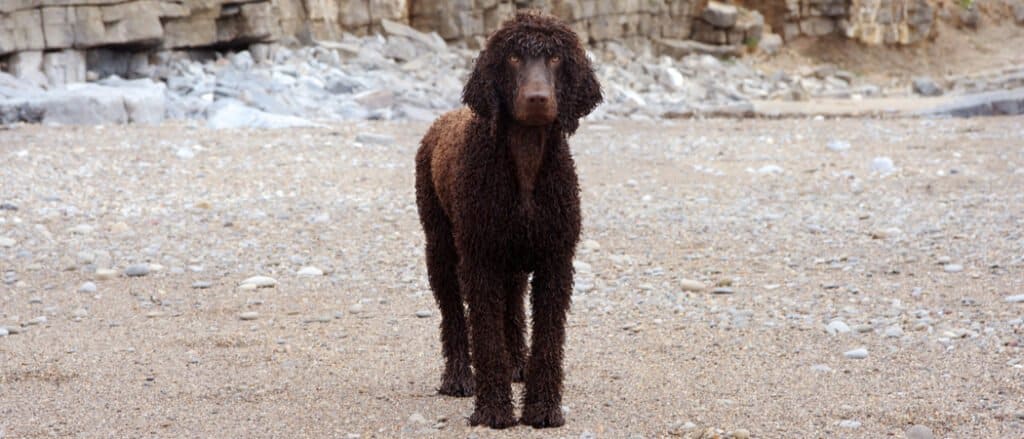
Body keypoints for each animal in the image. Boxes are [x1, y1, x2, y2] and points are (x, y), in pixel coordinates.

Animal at [411, 11, 598, 427]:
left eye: (556, 58)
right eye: (512, 58)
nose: (537, 99)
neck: (524, 161)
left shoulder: (556, 260)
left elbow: (548, 338)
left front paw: (543, 408)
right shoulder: (480, 260)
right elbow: (486, 335)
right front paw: (494, 409)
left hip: (511, 261)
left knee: (512, 308)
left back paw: (517, 364)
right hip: (441, 248)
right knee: (453, 315)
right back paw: (458, 376)